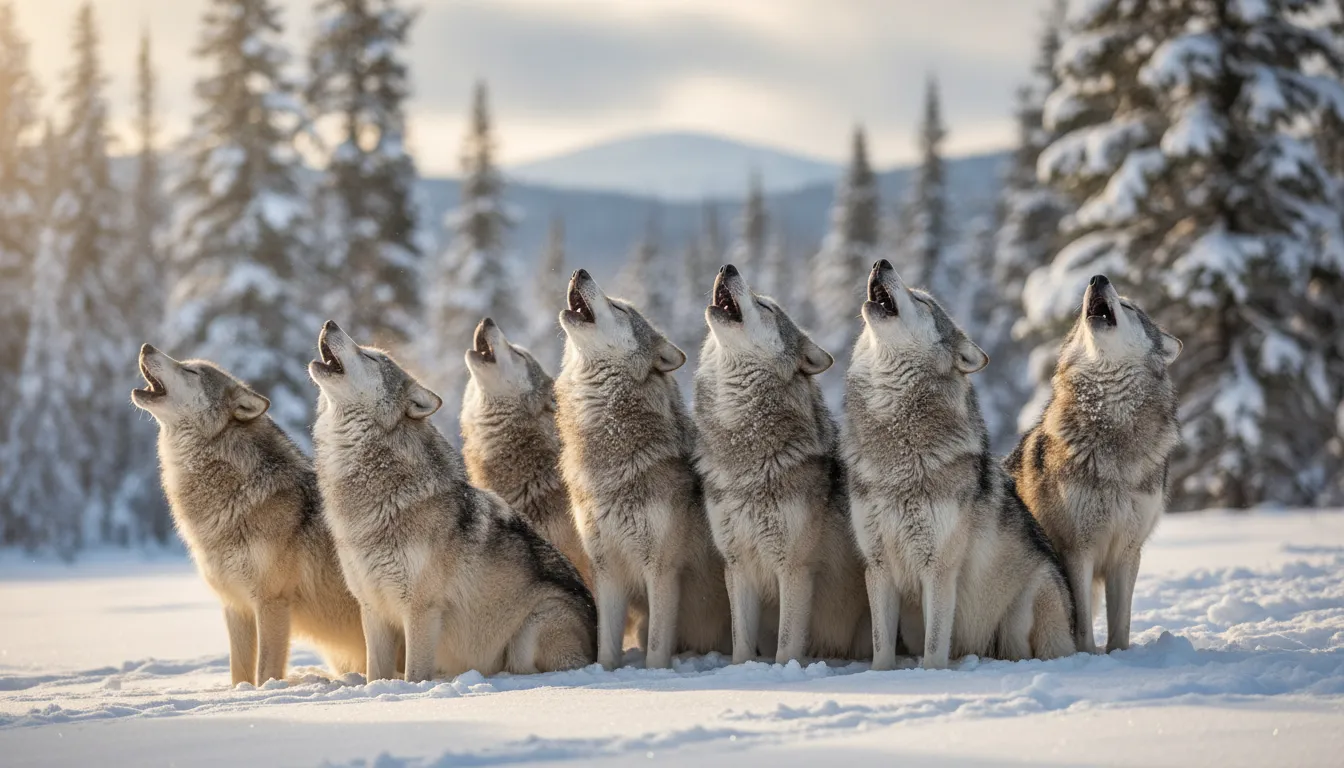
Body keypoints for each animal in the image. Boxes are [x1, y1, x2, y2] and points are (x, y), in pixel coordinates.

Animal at [131, 344, 366, 685]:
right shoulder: (235, 606)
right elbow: (239, 673)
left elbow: (265, 670)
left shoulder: (271, 602)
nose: (146, 347)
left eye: (190, 371)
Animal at [555, 269, 732, 669]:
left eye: (619, 307)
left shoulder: (662, 570)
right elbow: (607, 649)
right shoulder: (606, 571)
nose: (579, 272)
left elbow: (655, 650)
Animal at [693, 264, 870, 664]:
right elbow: (741, 641)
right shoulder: (738, 565)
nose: (727, 267)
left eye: (765, 307)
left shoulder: (794, 569)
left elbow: (787, 643)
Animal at [843, 260, 1076, 670]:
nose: (881, 263)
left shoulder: (939, 569)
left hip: (1027, 604)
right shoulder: (878, 567)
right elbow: (880, 643)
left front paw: (933, 675)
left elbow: (936, 644)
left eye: (921, 299)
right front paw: (881, 675)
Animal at [1007, 274, 1181, 654]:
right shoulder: (1076, 549)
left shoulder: (1127, 552)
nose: (1098, 278)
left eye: (1129, 306)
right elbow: (1083, 623)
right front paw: (1088, 657)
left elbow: (1121, 625)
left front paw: (1118, 657)